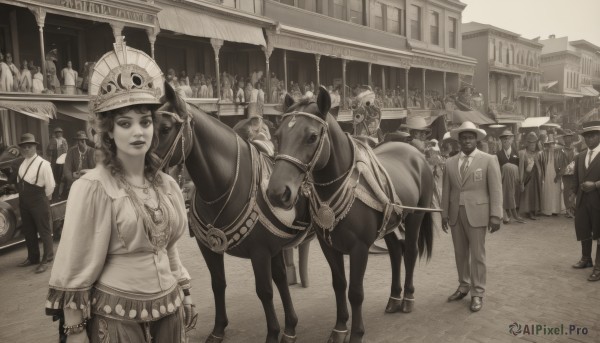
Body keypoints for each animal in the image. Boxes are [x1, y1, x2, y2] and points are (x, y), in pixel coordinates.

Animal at [152, 82, 312, 343]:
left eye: (165, 128)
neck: (221, 187)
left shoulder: (260, 251)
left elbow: (265, 291)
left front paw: (273, 332)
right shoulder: (210, 247)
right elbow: (218, 284)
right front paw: (218, 329)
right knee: (280, 277)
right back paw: (291, 325)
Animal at [270, 88, 434, 343]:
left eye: (312, 137)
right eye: (277, 136)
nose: (278, 193)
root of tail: (415, 153)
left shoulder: (359, 248)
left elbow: (356, 292)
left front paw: (356, 332)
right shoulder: (329, 246)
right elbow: (339, 284)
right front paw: (339, 328)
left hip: (415, 217)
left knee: (410, 252)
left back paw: (407, 298)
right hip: (389, 222)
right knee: (395, 252)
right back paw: (394, 298)